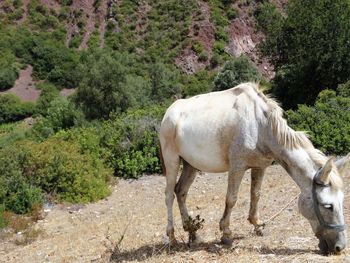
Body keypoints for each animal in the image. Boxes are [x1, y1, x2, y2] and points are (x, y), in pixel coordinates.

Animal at [159, 83, 350, 256]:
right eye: (328, 206)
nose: (339, 247)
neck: (259, 125)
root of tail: (168, 113)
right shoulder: (237, 167)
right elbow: (231, 199)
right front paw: (226, 234)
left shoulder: (260, 167)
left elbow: (255, 195)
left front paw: (257, 225)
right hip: (172, 161)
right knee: (169, 195)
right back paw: (172, 237)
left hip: (190, 165)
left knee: (181, 191)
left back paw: (192, 232)